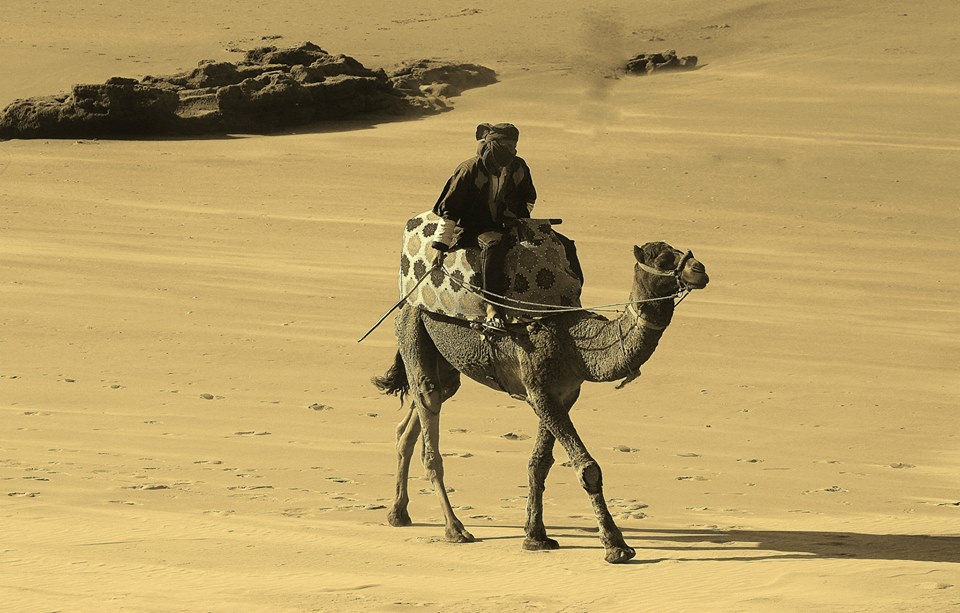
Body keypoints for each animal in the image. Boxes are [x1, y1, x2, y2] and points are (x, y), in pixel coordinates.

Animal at [372, 240, 709, 563]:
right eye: (662, 258)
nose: (700, 269)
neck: (577, 345)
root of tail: (408, 298)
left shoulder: (563, 395)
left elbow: (540, 463)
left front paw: (536, 537)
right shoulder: (541, 391)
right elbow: (587, 468)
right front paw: (616, 546)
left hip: (446, 364)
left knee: (413, 421)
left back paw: (398, 513)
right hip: (413, 331)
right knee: (429, 426)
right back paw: (455, 529)